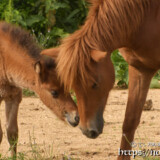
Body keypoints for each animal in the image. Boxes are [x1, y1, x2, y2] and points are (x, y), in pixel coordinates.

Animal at [41, 0, 160, 159]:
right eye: (74, 87)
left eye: (95, 84)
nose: (87, 131)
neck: (146, 15)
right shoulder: (140, 69)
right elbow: (129, 122)